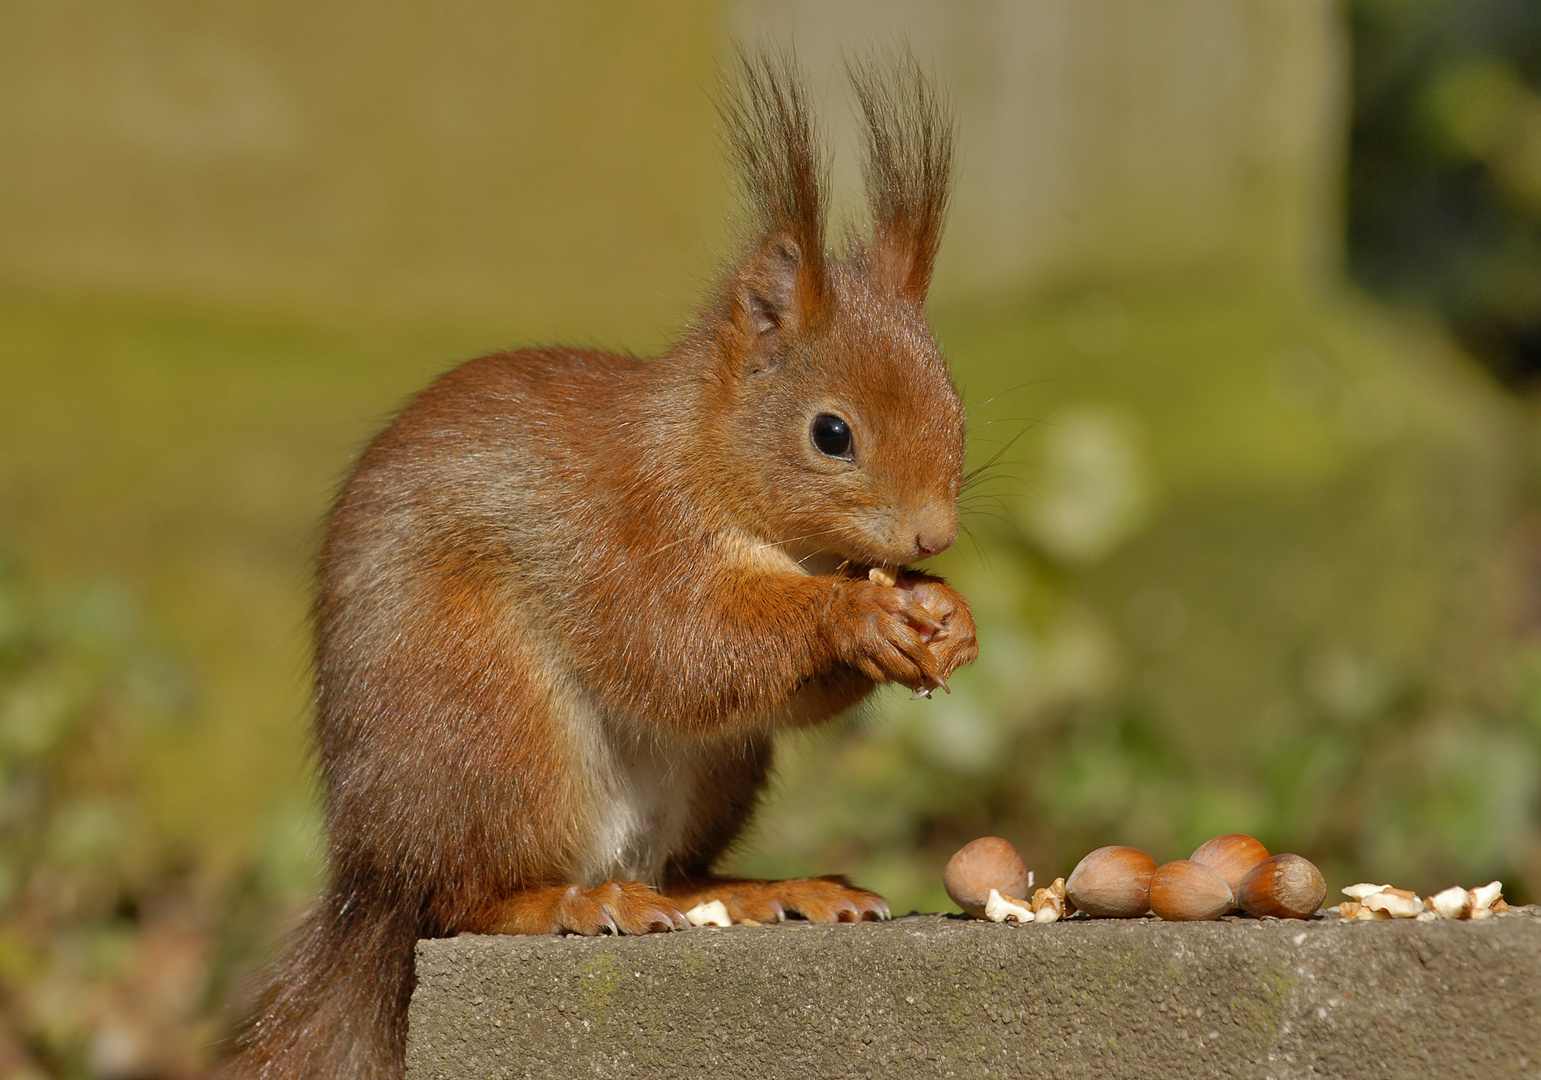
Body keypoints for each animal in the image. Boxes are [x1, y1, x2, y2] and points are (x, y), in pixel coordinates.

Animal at [211, 52, 973, 1078]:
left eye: (954, 404)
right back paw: (570, 903)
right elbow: (678, 651)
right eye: (830, 434)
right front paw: (853, 617)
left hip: (713, 778)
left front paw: (945, 617)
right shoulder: (624, 531)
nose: (933, 537)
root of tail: (372, 873)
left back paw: (762, 891)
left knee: (677, 872)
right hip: (490, 731)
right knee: (462, 902)